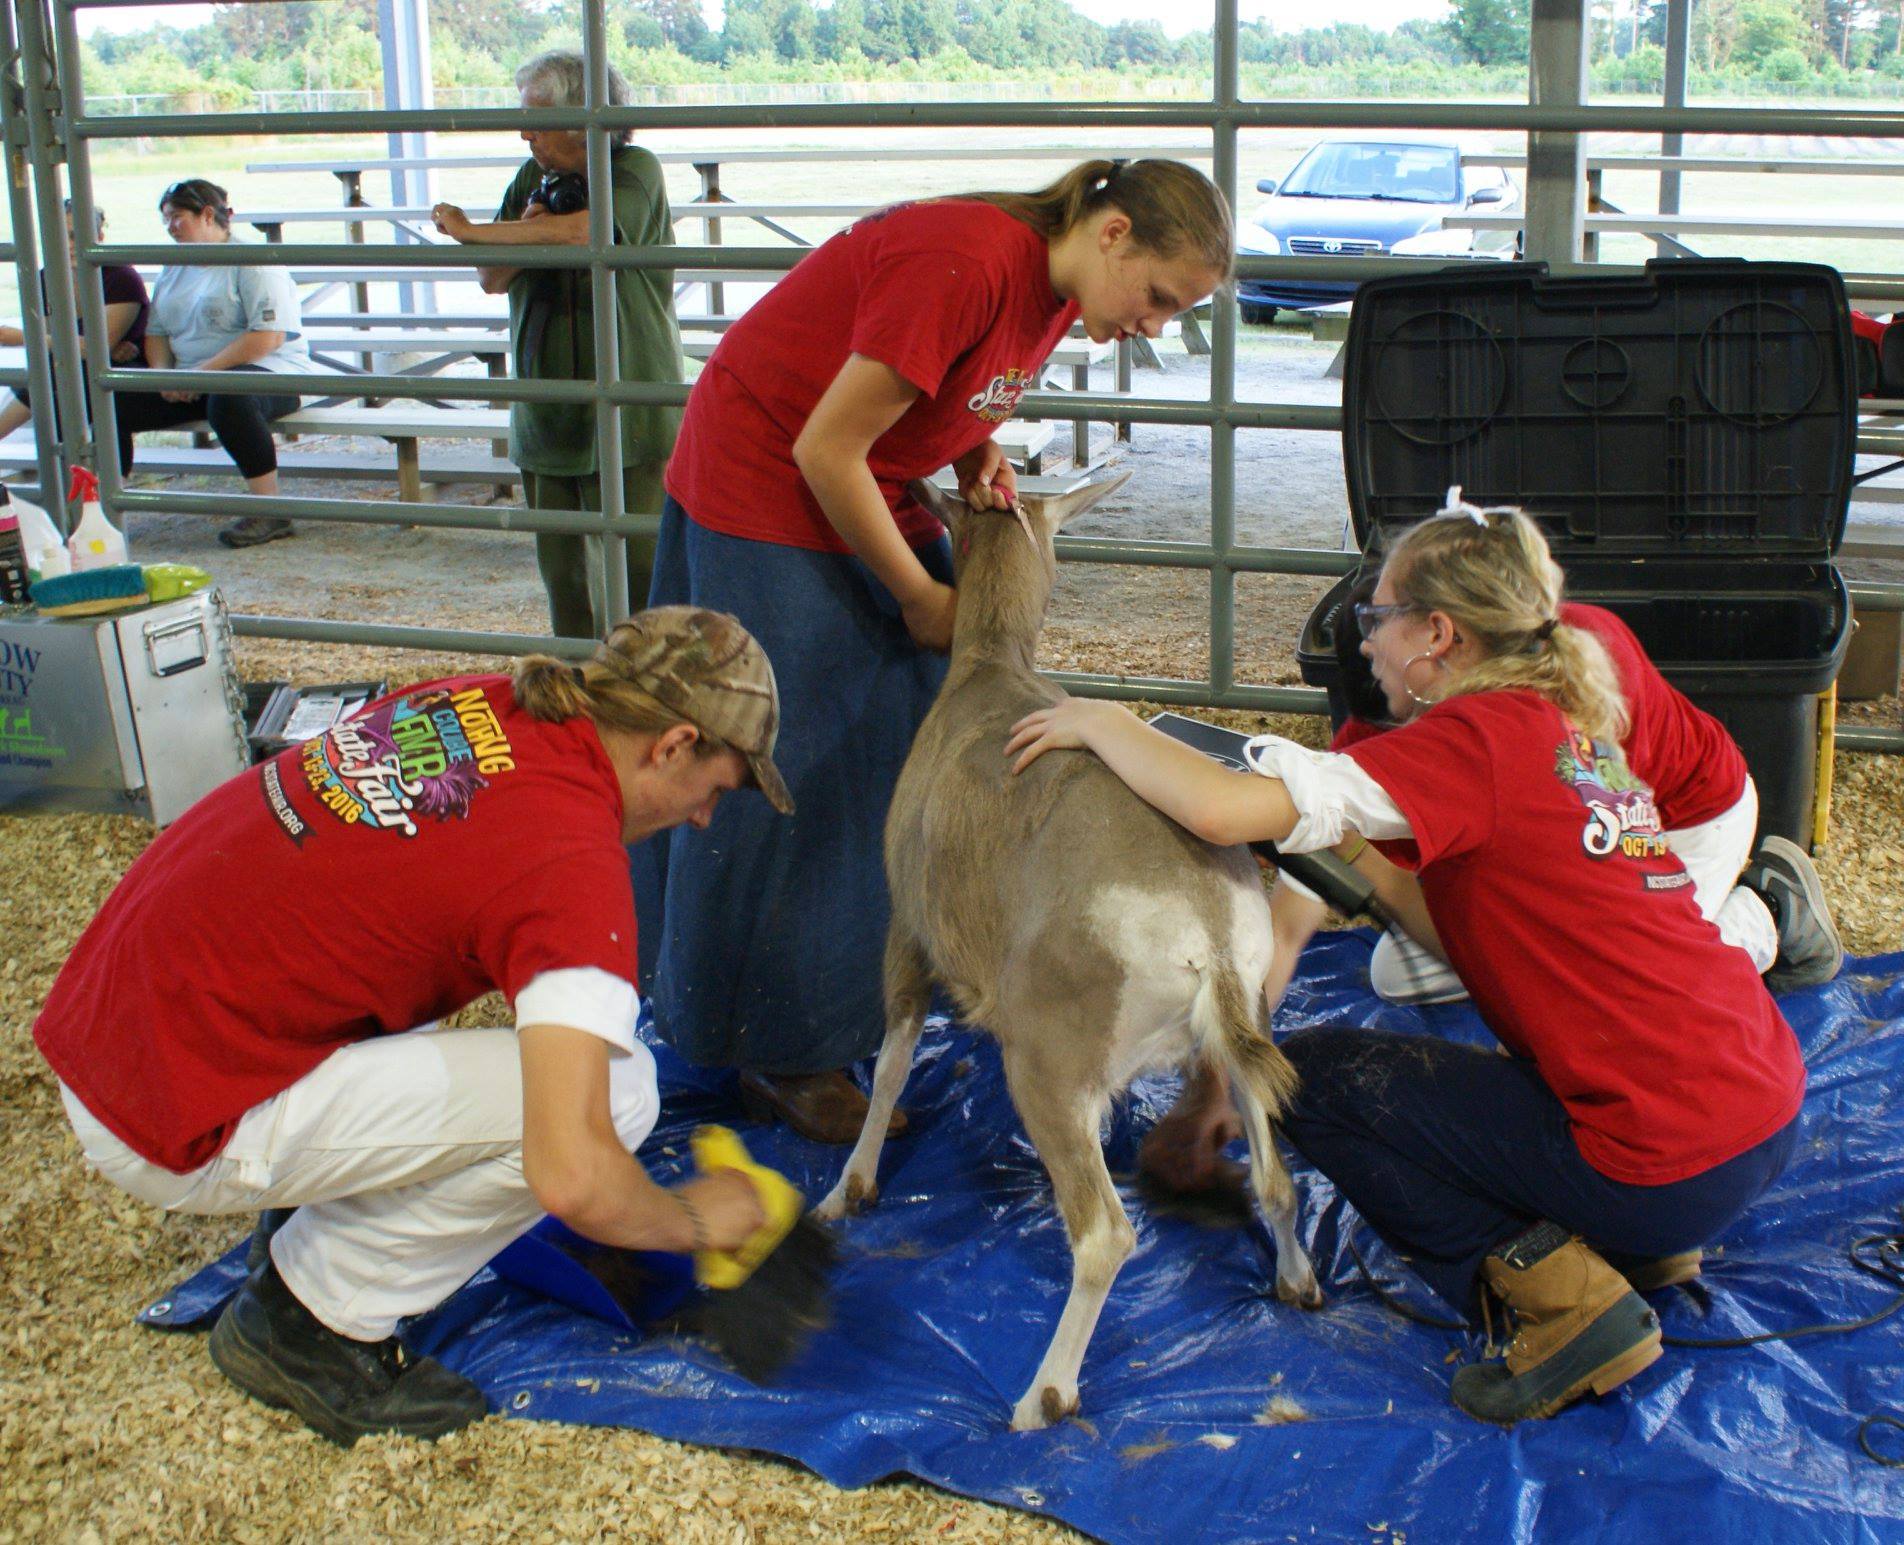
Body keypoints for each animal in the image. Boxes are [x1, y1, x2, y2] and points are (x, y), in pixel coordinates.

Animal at [818, 474, 1325, 1440]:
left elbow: (894, 1058)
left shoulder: (909, 924)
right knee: (1277, 1178)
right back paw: (1297, 1282)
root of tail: (1207, 931)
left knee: (1104, 1230)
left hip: (1047, 1056)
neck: (986, 671)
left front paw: (845, 1192)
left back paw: (1040, 1397)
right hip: (1246, 1029)